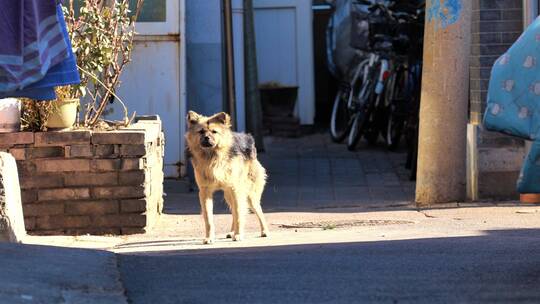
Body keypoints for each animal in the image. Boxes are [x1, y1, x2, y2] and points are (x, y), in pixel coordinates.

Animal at [186, 110, 270, 243]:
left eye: (214, 131)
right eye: (201, 132)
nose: (206, 138)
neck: (213, 157)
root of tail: (249, 138)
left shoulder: (235, 189)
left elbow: (238, 214)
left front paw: (239, 234)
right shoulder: (205, 192)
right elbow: (209, 219)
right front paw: (209, 238)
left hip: (249, 195)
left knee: (257, 210)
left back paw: (264, 231)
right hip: (228, 195)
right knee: (235, 212)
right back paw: (231, 232)